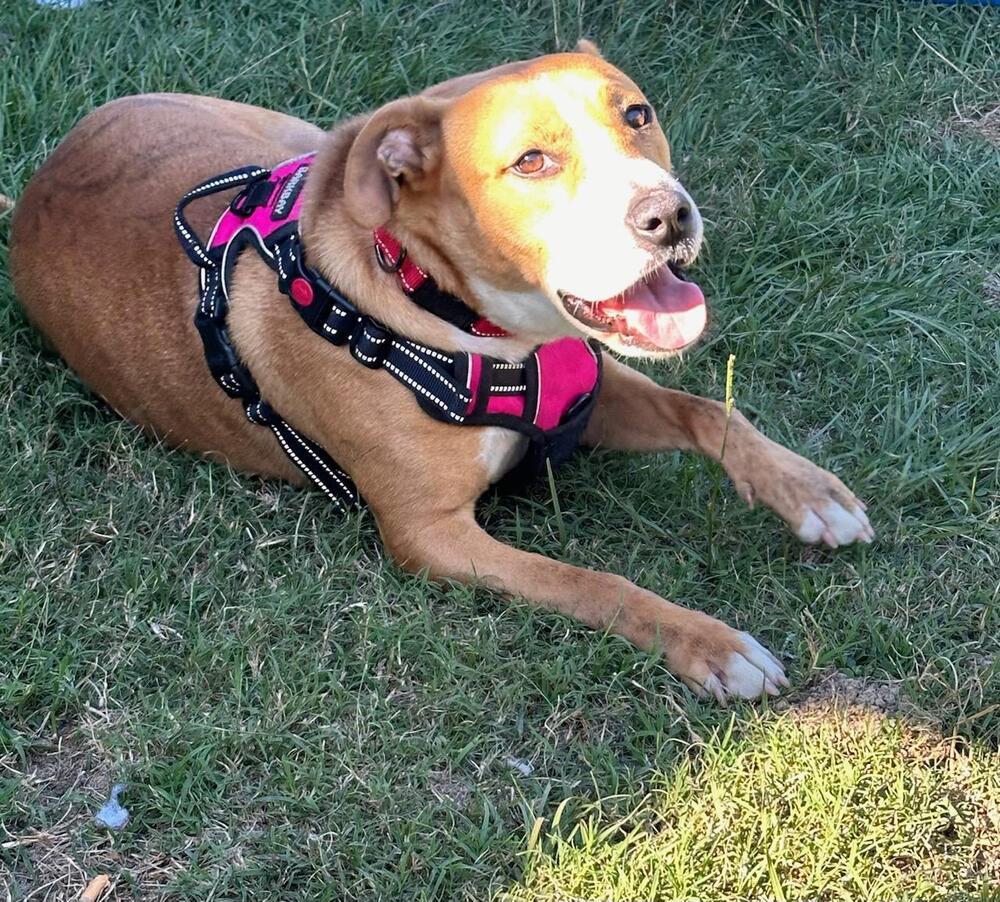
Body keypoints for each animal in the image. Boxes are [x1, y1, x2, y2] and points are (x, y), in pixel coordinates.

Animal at [7, 40, 872, 708]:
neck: (470, 318)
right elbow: (593, 582)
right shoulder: (432, 536)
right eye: (531, 162)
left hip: (310, 141)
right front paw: (710, 644)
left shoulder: (587, 389)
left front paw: (810, 493)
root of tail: (54, 164)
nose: (668, 216)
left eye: (636, 115)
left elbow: (707, 410)